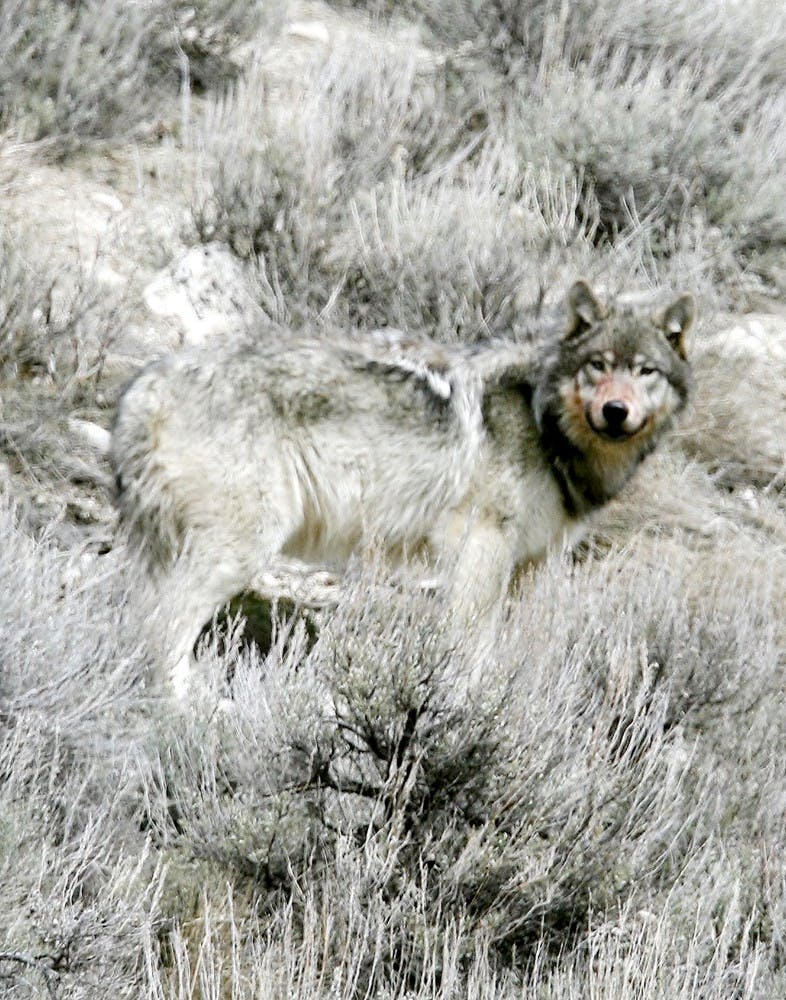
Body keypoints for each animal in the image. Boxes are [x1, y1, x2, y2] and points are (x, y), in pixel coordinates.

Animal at [111, 280, 694, 698]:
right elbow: (472, 647)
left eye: (645, 371)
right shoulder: (479, 546)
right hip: (241, 550)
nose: (615, 411)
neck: (542, 419)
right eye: (598, 365)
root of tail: (145, 384)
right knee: (161, 628)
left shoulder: (530, 565)